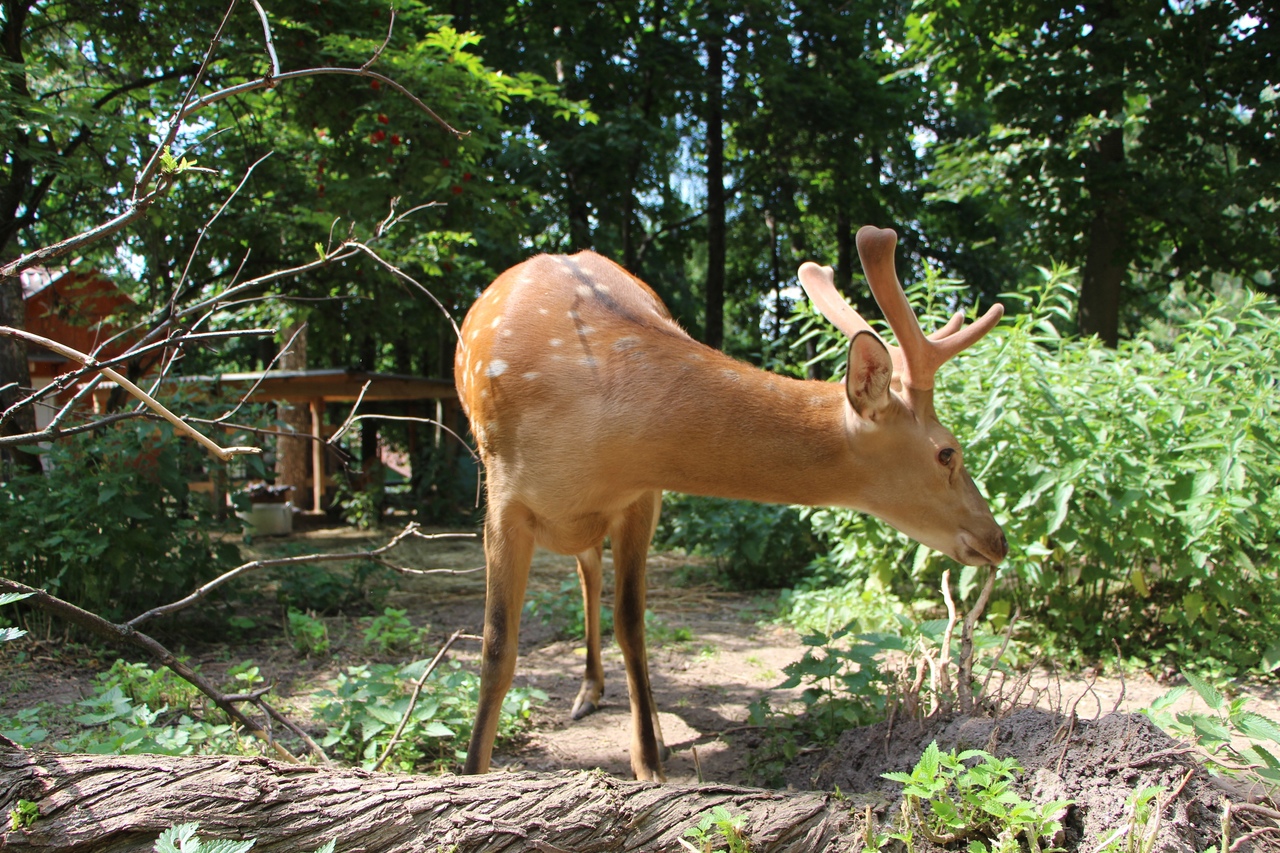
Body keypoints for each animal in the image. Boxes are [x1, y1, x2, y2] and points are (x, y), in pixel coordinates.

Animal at [455, 224, 1003, 778]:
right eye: (947, 452)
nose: (997, 539)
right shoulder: (502, 497)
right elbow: (496, 645)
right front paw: (473, 770)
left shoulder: (641, 496)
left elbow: (632, 624)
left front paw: (649, 763)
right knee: (587, 572)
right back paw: (589, 694)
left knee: (598, 579)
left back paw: (639, 722)